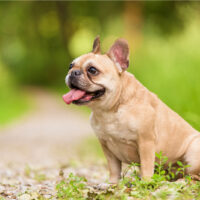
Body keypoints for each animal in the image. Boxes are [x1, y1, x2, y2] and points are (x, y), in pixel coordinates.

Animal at [63, 36, 200, 184]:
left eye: (92, 70)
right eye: (70, 66)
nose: (73, 72)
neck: (110, 110)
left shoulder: (146, 142)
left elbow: (146, 166)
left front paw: (145, 183)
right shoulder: (106, 147)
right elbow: (113, 168)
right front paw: (113, 183)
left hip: (193, 152)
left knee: (194, 176)